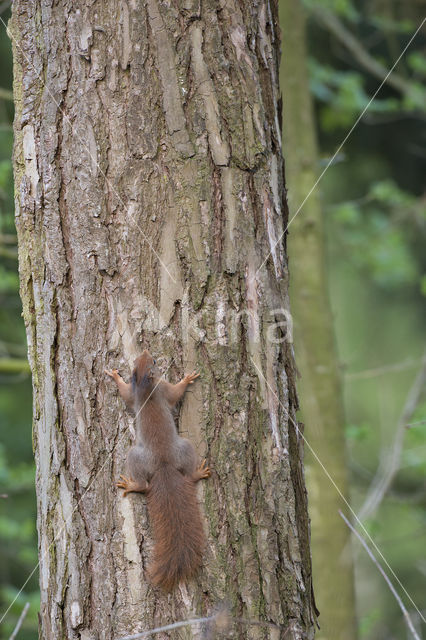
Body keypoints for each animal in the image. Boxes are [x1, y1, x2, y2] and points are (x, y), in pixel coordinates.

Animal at [103, 350, 210, 592]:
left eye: (143, 360)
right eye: (151, 361)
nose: (144, 352)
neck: (144, 384)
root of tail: (164, 466)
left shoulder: (136, 393)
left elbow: (125, 393)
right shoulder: (162, 388)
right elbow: (175, 393)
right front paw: (186, 379)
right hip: (166, 450)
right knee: (153, 483)